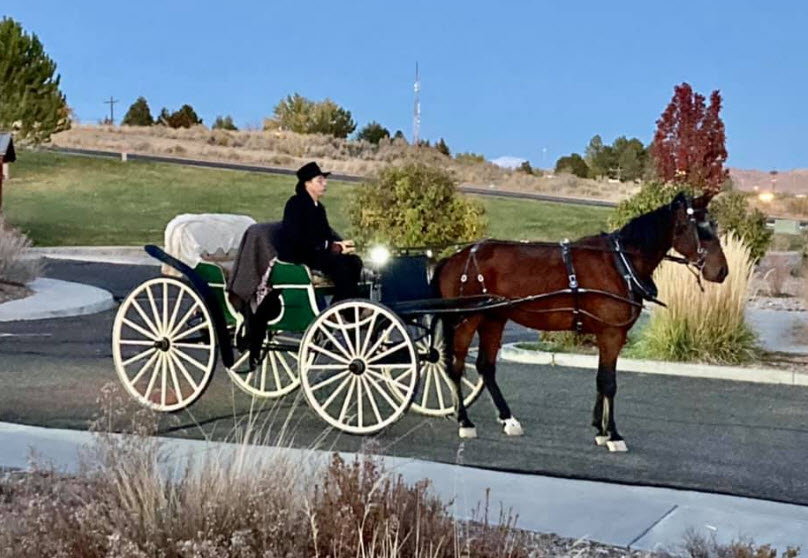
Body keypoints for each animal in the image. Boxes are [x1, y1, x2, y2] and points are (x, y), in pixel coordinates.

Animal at [438, 191, 728, 450]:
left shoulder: (607, 334)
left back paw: (508, 419)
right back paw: (464, 420)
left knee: (486, 367)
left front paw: (599, 430)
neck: (619, 264)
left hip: (494, 318)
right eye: (700, 230)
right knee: (455, 366)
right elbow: (609, 383)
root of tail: (455, 258)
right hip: (467, 319)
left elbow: (601, 380)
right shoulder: (611, 333)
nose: (722, 271)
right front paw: (613, 435)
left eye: (713, 226)